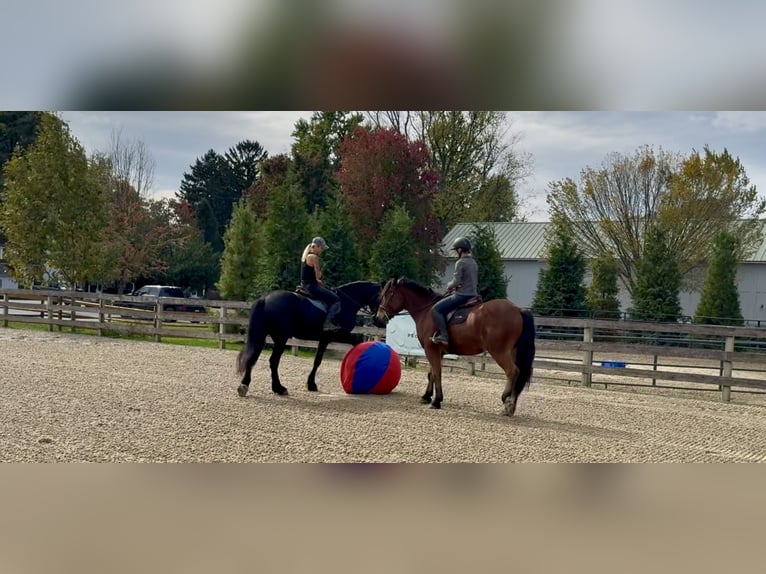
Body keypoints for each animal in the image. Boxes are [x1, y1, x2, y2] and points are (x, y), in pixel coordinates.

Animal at [236, 281, 382, 397]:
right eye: (381, 297)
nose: (379, 319)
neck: (346, 303)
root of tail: (265, 299)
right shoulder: (339, 334)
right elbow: (357, 343)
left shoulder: (325, 338)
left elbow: (317, 361)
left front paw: (311, 384)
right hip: (280, 338)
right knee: (273, 361)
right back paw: (279, 388)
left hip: (262, 335)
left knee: (253, 357)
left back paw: (244, 385)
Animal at [375, 277, 536, 416]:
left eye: (388, 295)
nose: (379, 317)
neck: (427, 311)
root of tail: (518, 309)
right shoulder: (435, 351)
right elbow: (431, 374)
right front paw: (426, 396)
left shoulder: (430, 350)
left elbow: (437, 373)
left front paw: (436, 401)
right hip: (512, 352)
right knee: (518, 373)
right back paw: (511, 406)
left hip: (499, 352)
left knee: (512, 372)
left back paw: (506, 401)